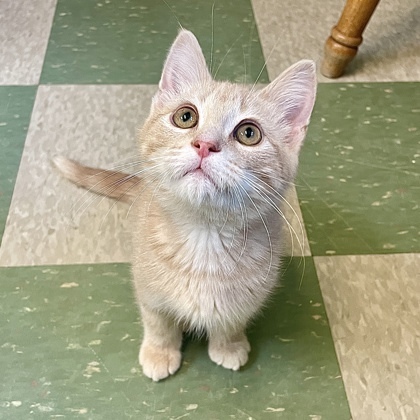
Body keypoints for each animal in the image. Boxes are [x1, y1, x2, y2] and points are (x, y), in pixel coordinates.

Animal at [54, 29, 316, 380]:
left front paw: (228, 345)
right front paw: (159, 352)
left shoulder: (250, 296)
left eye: (249, 133)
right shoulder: (148, 291)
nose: (204, 144)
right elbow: (158, 323)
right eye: (186, 117)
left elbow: (231, 320)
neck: (204, 238)